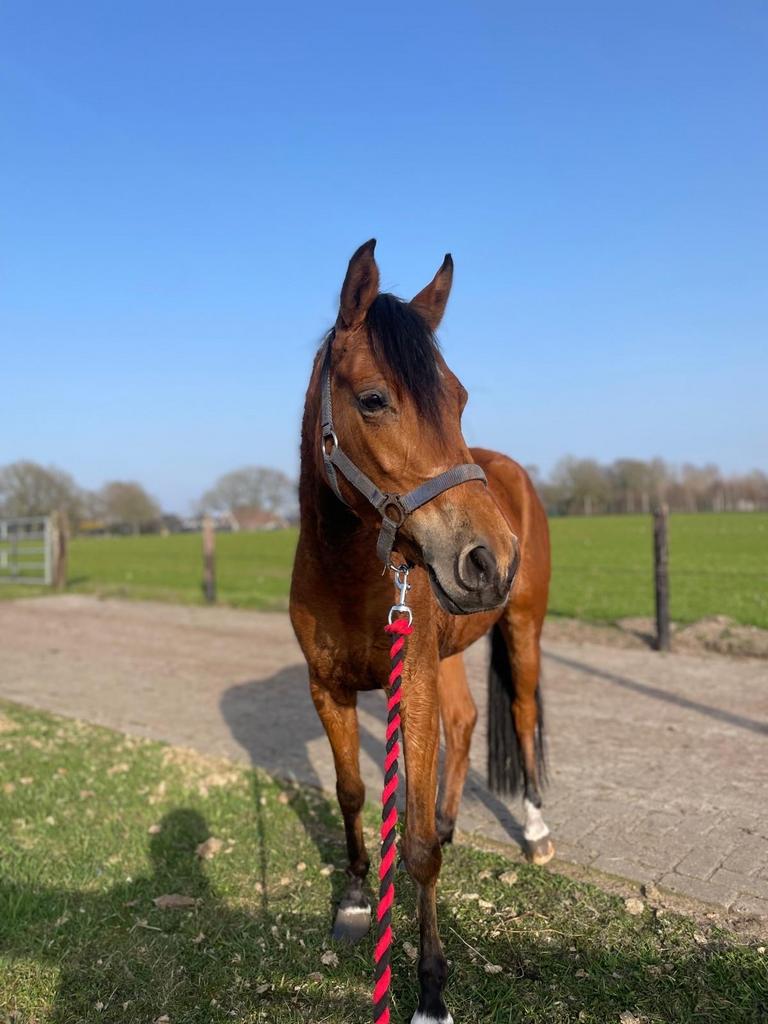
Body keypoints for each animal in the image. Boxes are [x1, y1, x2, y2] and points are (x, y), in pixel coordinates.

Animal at [289, 240, 552, 1024]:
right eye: (375, 399)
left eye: (458, 399)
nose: (490, 559)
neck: (348, 574)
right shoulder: (329, 688)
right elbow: (350, 792)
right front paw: (352, 899)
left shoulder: (416, 686)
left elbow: (419, 850)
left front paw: (431, 990)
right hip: (454, 650)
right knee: (467, 725)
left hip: (521, 630)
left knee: (521, 713)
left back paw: (535, 831)